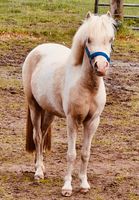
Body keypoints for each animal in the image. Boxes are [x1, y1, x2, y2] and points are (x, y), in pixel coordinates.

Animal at [22, 11, 115, 196]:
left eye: (110, 39)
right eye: (88, 40)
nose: (101, 67)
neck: (87, 86)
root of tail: (38, 49)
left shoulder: (92, 122)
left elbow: (85, 153)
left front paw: (84, 184)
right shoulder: (72, 120)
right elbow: (71, 154)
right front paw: (67, 187)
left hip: (49, 112)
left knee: (42, 135)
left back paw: (40, 167)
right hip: (34, 106)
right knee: (37, 137)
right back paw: (38, 172)